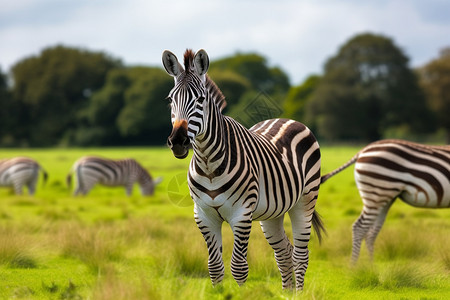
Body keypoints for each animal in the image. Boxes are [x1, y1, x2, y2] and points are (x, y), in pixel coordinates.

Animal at [162, 49, 324, 290]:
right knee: (284, 252)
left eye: (200, 99)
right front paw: (218, 292)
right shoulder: (204, 215)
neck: (209, 165)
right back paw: (287, 293)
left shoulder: (241, 214)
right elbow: (214, 267)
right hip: (273, 212)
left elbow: (239, 268)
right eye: (171, 99)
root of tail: (287, 119)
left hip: (305, 200)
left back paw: (299, 293)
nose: (178, 142)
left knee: (300, 255)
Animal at [320, 139, 450, 264]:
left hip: (383, 198)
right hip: (377, 192)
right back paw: (353, 267)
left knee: (371, 233)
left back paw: (371, 269)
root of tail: (362, 151)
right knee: (359, 227)